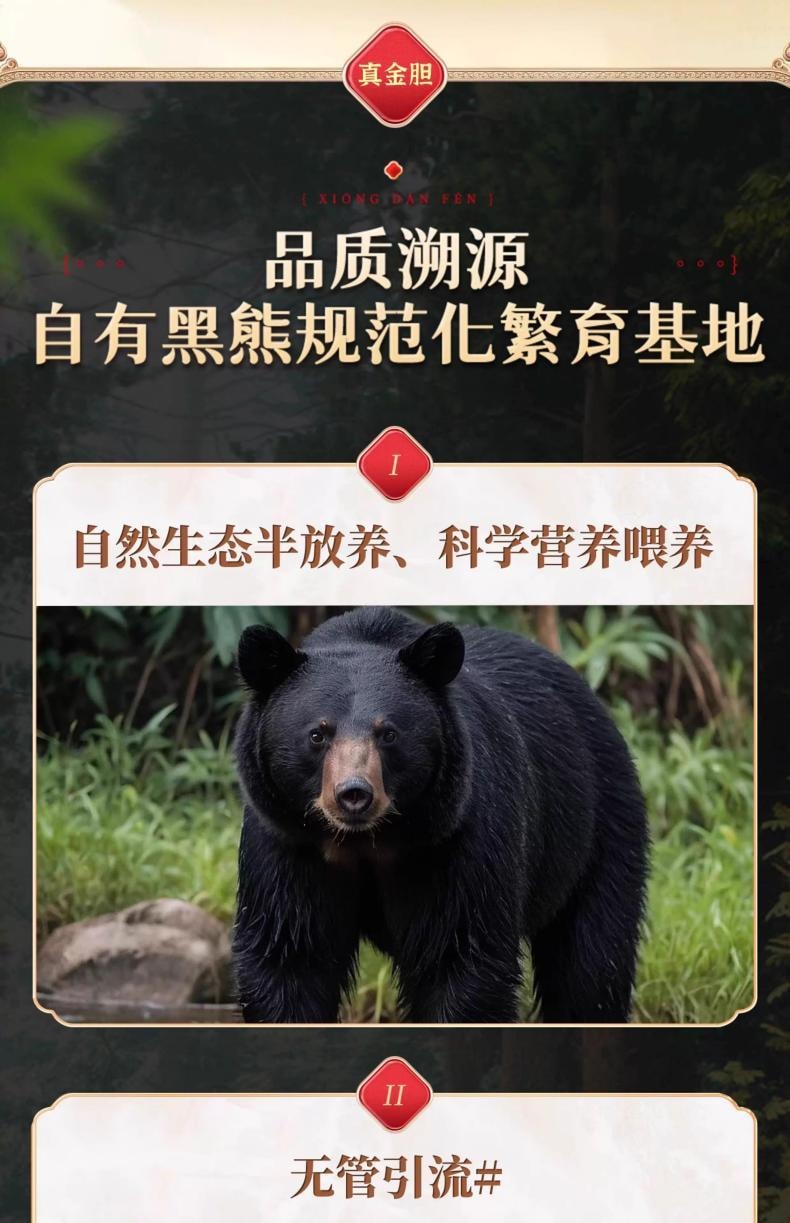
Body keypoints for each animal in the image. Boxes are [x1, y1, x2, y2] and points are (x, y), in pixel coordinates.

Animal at [233, 607, 649, 1024]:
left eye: (388, 733)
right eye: (318, 734)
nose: (354, 795)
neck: (366, 840)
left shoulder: (457, 836)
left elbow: (459, 957)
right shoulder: (287, 840)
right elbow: (290, 956)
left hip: (597, 828)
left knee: (591, 961)